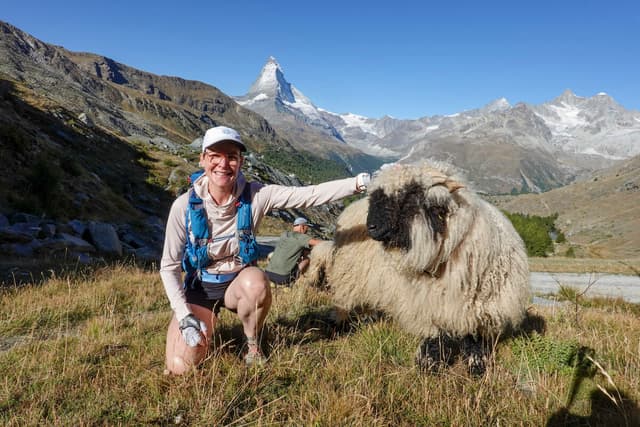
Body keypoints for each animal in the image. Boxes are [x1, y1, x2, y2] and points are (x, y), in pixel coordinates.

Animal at [302, 162, 532, 376]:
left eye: (408, 198)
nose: (371, 227)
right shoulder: (427, 303)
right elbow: (435, 336)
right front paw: (428, 365)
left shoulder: (478, 307)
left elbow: (473, 338)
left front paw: (476, 366)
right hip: (351, 274)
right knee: (346, 299)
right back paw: (338, 323)